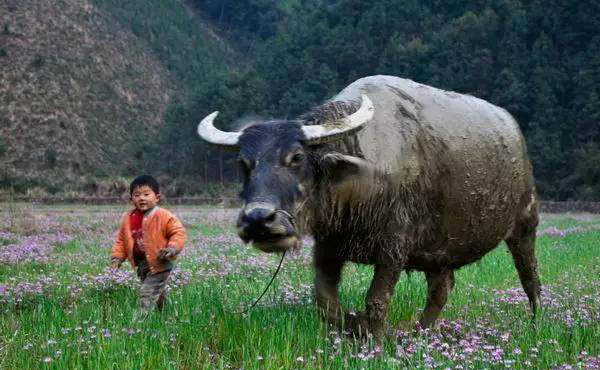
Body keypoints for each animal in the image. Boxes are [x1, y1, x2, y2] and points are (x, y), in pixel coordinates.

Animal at [196, 75, 540, 342]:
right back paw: (419, 333)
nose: (258, 219)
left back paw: (536, 321)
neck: (359, 185)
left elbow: (376, 301)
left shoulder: (393, 249)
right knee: (440, 291)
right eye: (244, 164)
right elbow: (325, 301)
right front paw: (353, 326)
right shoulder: (328, 246)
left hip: (525, 223)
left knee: (529, 277)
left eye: (297, 157)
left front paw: (374, 337)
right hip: (439, 250)